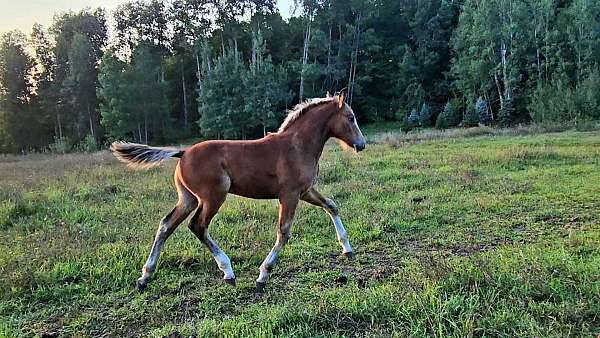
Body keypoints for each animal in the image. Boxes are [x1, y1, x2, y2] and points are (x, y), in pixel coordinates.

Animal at [110, 91, 368, 292]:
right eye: (351, 117)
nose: (362, 144)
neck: (297, 146)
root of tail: (182, 152)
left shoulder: (305, 191)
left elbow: (331, 205)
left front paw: (347, 249)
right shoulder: (290, 195)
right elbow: (283, 232)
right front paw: (263, 275)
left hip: (188, 198)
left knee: (166, 225)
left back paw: (145, 277)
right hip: (213, 196)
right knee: (197, 226)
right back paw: (228, 271)